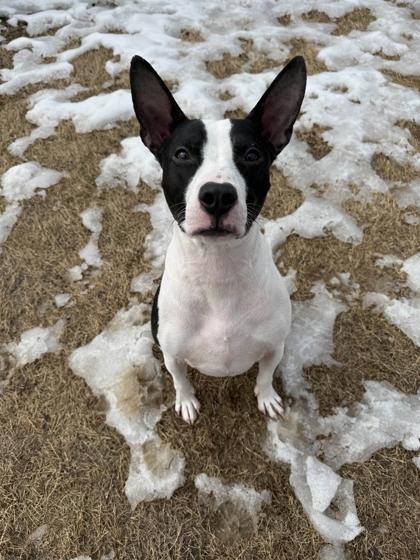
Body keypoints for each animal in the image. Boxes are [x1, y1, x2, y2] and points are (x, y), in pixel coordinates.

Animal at [130, 55, 306, 424]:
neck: (217, 268)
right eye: (182, 154)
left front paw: (267, 397)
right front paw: (186, 402)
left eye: (252, 155)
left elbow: (265, 375)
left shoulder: (274, 346)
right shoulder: (172, 352)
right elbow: (180, 379)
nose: (218, 196)